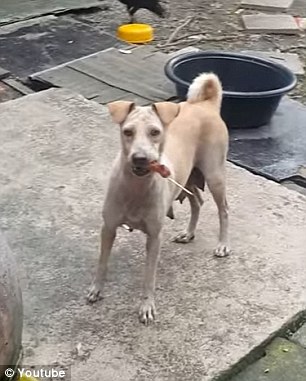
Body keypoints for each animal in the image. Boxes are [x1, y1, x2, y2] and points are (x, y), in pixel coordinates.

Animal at [87, 72, 228, 324]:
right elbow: (102, 262)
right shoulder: (108, 228)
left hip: (215, 175)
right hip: (187, 179)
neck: (136, 186)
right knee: (198, 202)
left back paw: (222, 245)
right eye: (127, 132)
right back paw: (188, 233)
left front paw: (147, 306)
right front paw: (96, 289)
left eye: (155, 132)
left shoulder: (154, 237)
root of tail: (206, 104)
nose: (140, 158)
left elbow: (149, 276)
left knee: (224, 210)